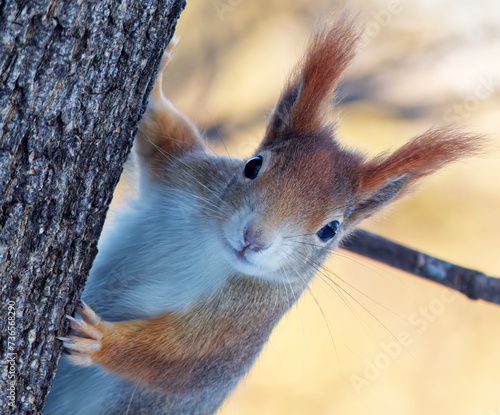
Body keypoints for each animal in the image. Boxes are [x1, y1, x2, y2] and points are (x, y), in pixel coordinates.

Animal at [45, 11, 482, 414]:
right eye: (252, 165)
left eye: (330, 230)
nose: (253, 239)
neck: (214, 247)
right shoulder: (185, 175)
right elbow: (163, 137)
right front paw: (155, 82)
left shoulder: (240, 328)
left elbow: (177, 362)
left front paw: (97, 339)